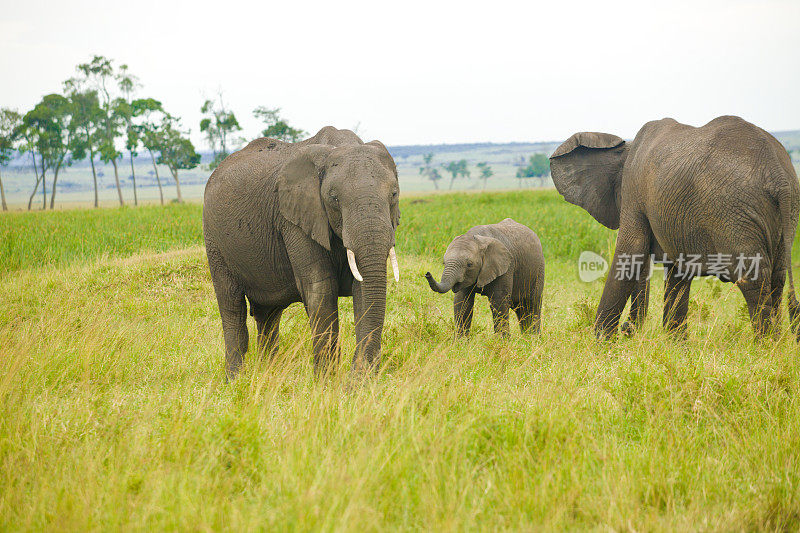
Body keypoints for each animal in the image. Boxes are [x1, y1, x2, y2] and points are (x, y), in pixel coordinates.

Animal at [200, 125, 400, 378]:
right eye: (334, 199)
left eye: (394, 195)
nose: (357, 374)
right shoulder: (294, 220)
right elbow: (320, 288)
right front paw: (326, 381)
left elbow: (363, 288)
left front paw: (359, 379)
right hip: (214, 240)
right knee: (232, 307)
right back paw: (235, 380)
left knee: (268, 315)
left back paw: (269, 374)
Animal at [552, 115, 800, 340]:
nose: (627, 329)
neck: (626, 150)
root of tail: (777, 174)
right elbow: (677, 272)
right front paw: (677, 345)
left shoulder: (634, 192)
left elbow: (631, 250)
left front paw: (600, 343)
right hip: (784, 212)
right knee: (777, 277)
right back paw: (775, 345)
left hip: (734, 209)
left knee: (753, 277)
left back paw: (763, 345)